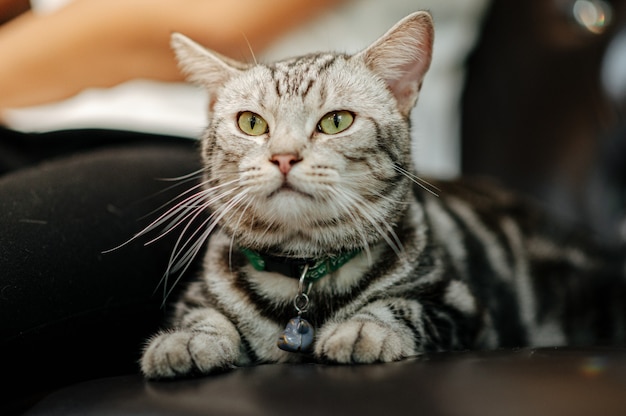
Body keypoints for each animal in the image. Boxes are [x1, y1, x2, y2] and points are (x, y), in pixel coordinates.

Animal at [139, 10, 620, 380]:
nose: (284, 157)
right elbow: (202, 315)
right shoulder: (197, 297)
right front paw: (186, 341)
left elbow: (400, 305)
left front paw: (361, 329)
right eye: (252, 123)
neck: (302, 271)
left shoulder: (458, 306)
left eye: (336, 122)